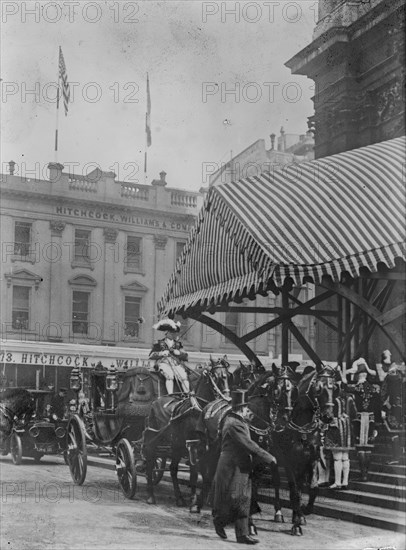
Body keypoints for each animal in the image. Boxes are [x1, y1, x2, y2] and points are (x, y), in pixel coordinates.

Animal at [143, 358, 232, 508]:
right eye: (215, 376)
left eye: (227, 375)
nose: (227, 398)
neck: (199, 410)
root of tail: (156, 401)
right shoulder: (193, 446)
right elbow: (194, 474)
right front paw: (194, 499)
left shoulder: (211, 449)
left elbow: (208, 475)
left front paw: (204, 500)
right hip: (153, 439)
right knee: (150, 461)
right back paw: (150, 495)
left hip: (175, 446)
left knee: (173, 469)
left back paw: (179, 498)